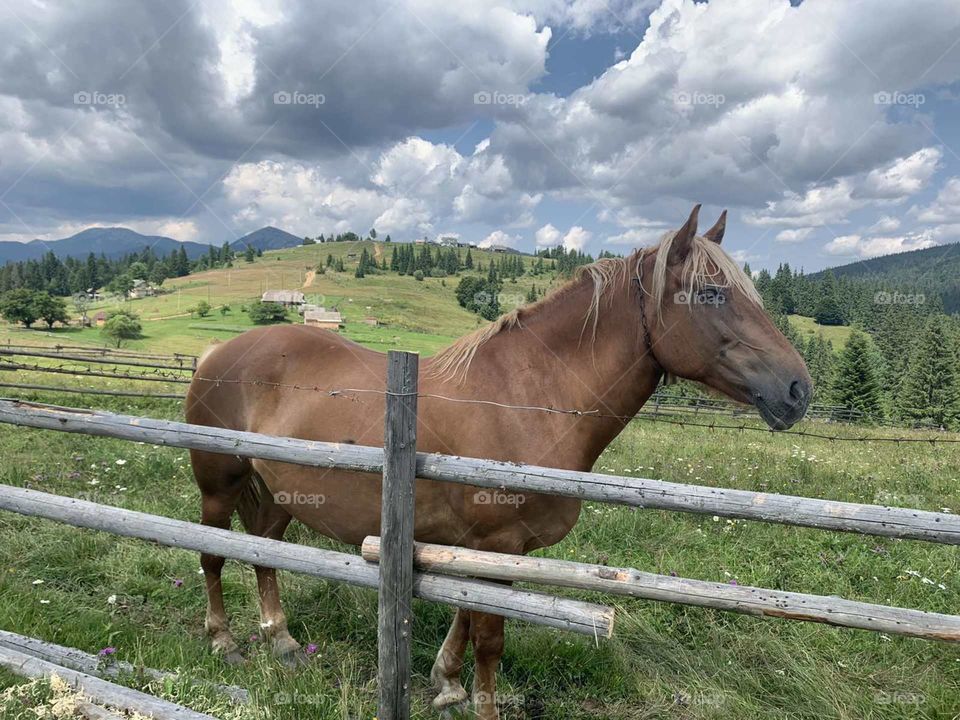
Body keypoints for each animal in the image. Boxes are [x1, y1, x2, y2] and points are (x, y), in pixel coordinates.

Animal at [185, 205, 812, 719]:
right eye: (710, 293)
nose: (798, 389)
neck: (527, 398)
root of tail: (216, 351)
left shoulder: (480, 547)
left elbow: (465, 616)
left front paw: (445, 683)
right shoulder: (497, 543)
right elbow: (489, 638)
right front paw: (477, 702)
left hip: (278, 492)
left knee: (263, 550)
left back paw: (281, 640)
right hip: (219, 486)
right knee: (213, 554)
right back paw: (224, 641)